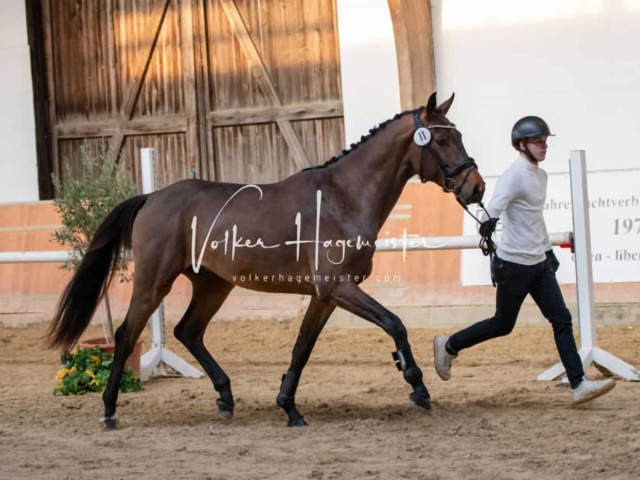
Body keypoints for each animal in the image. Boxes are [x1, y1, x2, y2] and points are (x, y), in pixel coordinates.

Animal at [47, 93, 482, 428]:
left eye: (459, 135)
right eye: (443, 141)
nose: (475, 188)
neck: (342, 197)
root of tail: (153, 197)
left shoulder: (324, 296)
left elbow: (302, 349)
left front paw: (289, 408)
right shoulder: (338, 288)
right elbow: (395, 324)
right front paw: (417, 386)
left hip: (213, 284)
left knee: (189, 331)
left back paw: (225, 397)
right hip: (155, 281)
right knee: (126, 335)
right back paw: (109, 410)